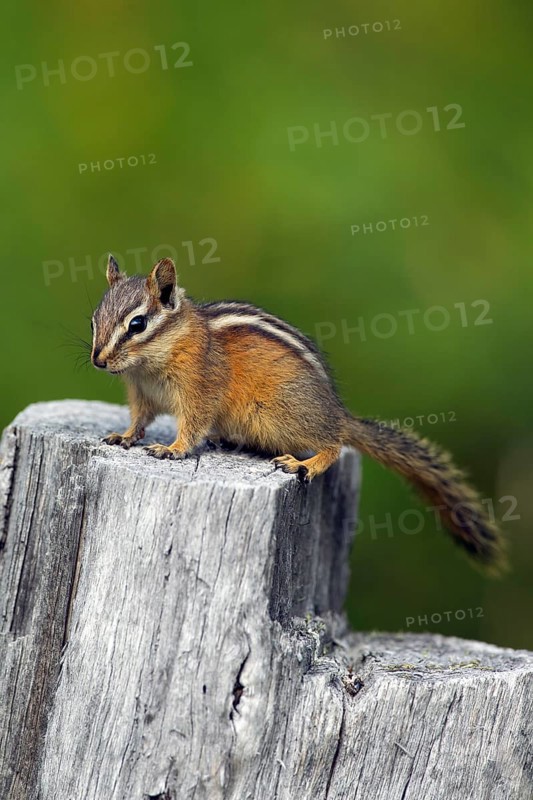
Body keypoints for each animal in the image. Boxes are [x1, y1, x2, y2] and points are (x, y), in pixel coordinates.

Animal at [90, 254, 506, 572]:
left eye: (138, 324)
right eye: (95, 318)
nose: (98, 361)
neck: (152, 361)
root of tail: (338, 412)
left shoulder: (199, 389)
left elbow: (192, 425)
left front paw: (172, 449)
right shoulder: (141, 394)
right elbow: (139, 420)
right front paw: (123, 436)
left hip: (283, 415)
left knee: (334, 444)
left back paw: (305, 463)